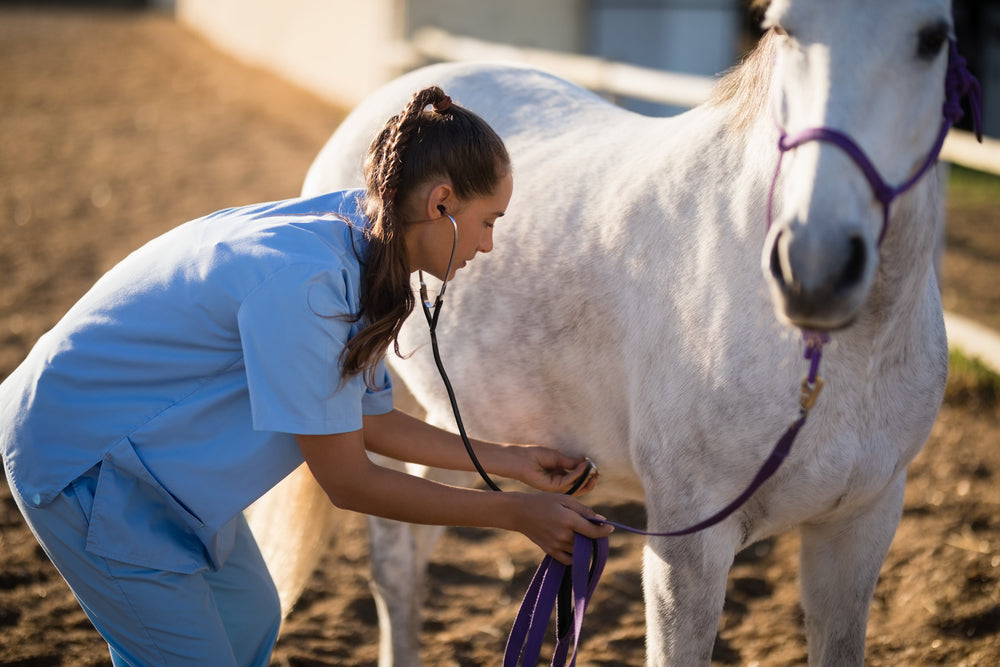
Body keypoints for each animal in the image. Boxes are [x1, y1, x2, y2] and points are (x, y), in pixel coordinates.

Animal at [248, 0, 979, 663]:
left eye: (931, 39)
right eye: (781, 28)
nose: (815, 264)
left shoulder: (859, 527)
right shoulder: (688, 552)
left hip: (457, 424)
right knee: (394, 561)